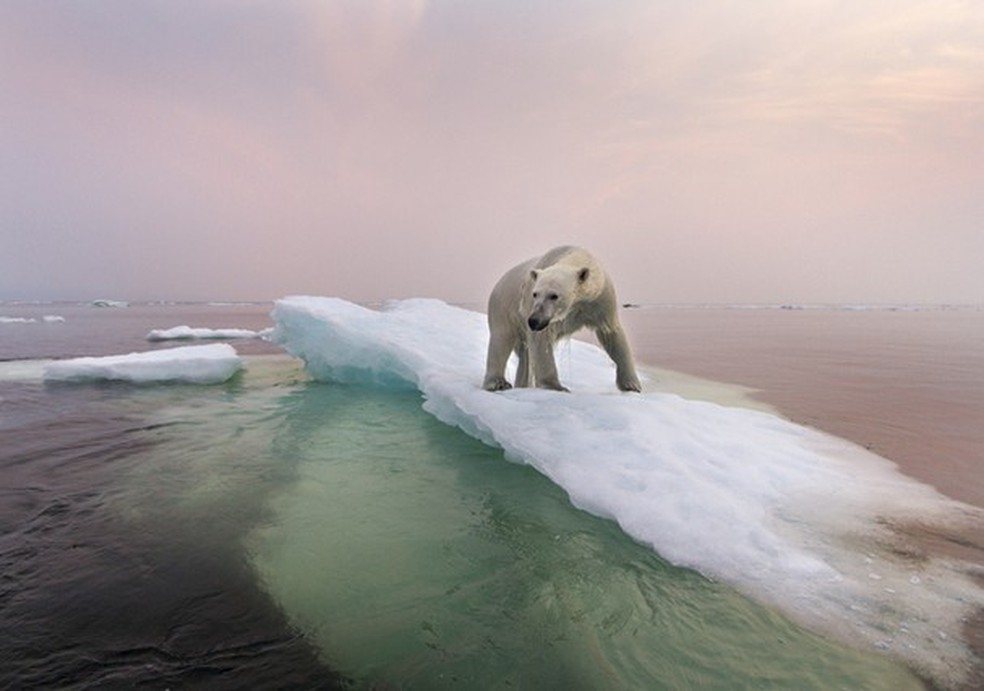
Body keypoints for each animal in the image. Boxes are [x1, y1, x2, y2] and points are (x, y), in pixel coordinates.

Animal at [482, 245, 642, 393]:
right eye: (535, 294)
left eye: (554, 295)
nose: (533, 321)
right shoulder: (532, 306)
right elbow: (542, 341)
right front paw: (557, 387)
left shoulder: (600, 299)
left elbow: (612, 333)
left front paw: (632, 385)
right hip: (503, 307)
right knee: (501, 339)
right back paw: (498, 383)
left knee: (525, 356)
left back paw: (522, 384)